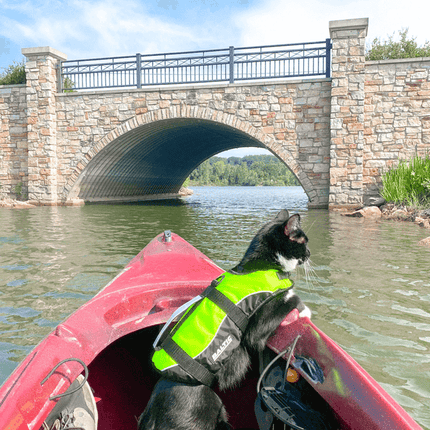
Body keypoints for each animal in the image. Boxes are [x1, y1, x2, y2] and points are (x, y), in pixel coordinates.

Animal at [139, 211, 310, 430]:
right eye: (304, 242)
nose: (309, 254)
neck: (262, 264)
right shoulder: (256, 329)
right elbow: (291, 300)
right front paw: (305, 310)